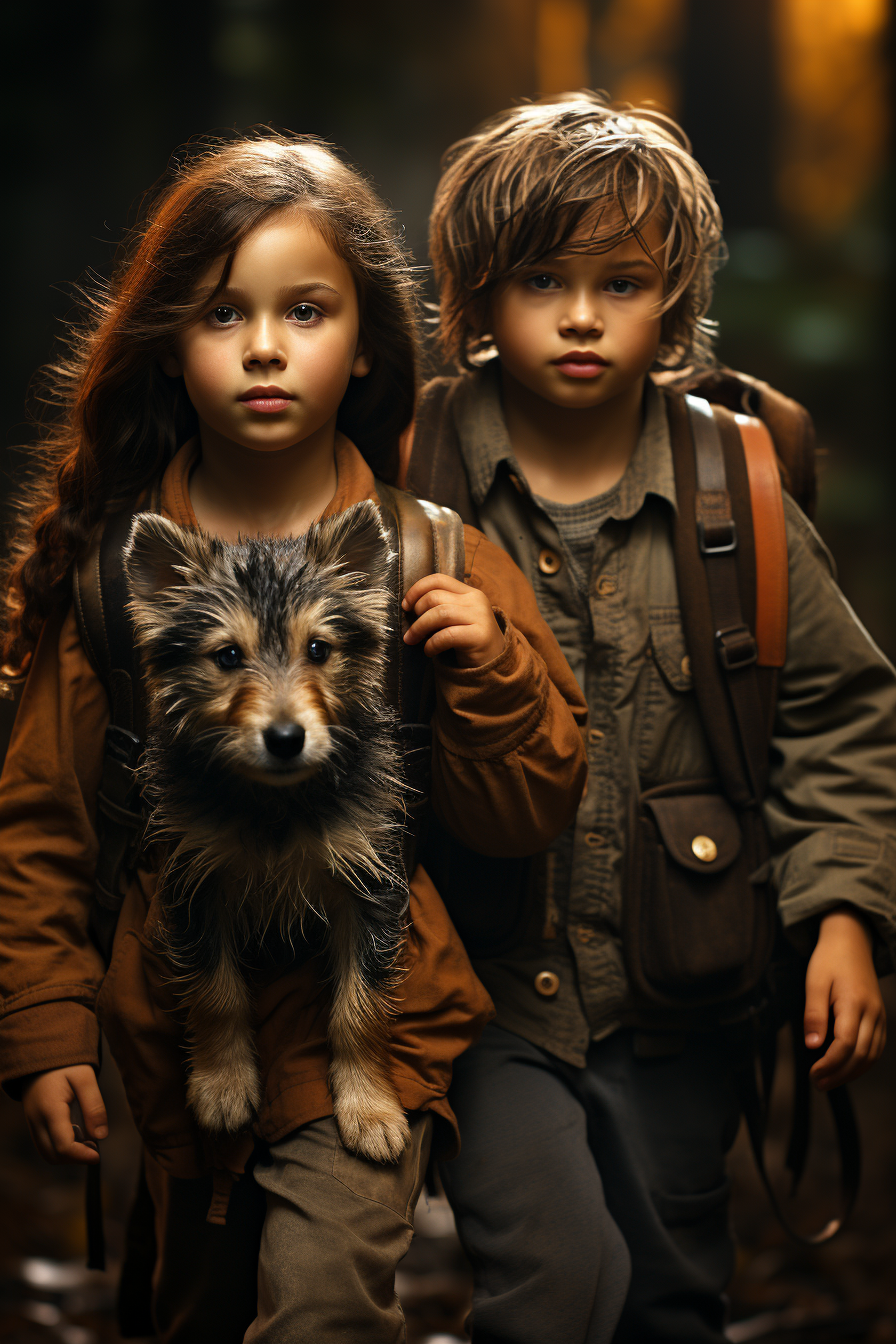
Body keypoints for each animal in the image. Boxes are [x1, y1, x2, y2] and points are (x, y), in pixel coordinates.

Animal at [122, 505, 411, 1166]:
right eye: (228, 657)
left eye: (319, 649)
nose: (285, 738)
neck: (277, 802)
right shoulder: (193, 879)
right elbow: (215, 990)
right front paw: (223, 1082)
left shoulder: (372, 880)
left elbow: (360, 1007)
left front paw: (370, 1106)